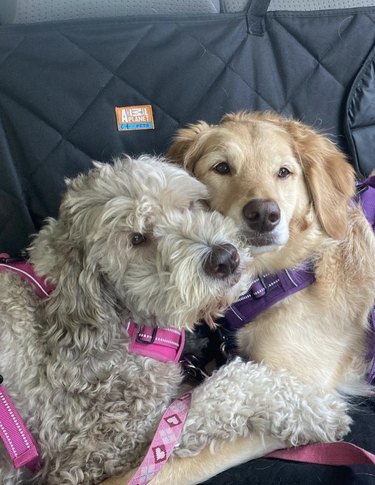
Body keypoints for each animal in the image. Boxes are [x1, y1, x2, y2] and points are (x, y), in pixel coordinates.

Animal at [0, 153, 352, 482]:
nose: (225, 257)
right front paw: (318, 411)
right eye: (137, 239)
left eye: (189, 205)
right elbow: (227, 389)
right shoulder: (100, 446)